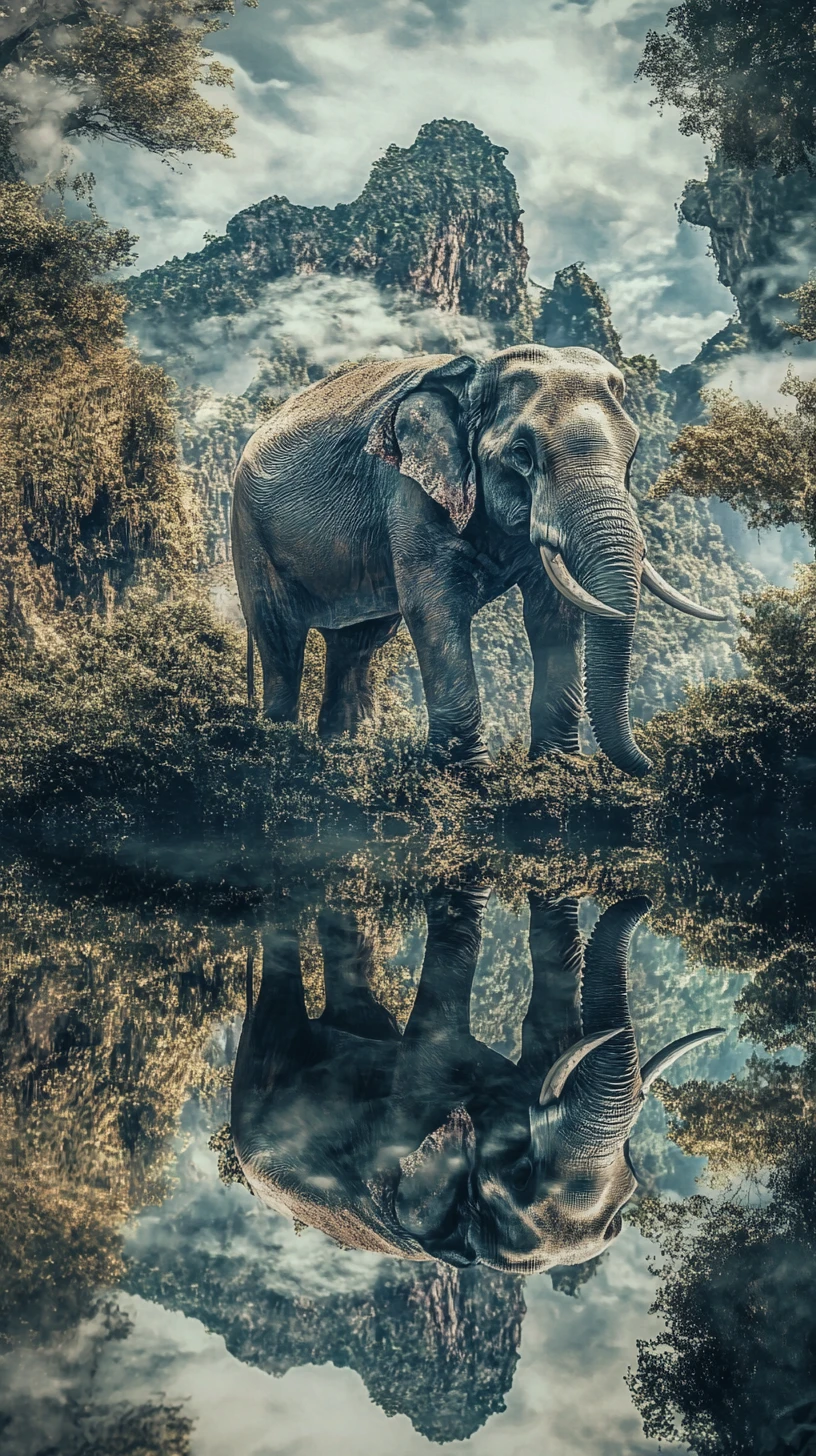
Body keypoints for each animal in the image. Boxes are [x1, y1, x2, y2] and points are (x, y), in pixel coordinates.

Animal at [231, 344, 725, 776]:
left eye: (633, 454)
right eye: (522, 455)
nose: (653, 765)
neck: (475, 379)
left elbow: (554, 612)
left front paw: (559, 768)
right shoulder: (411, 490)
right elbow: (434, 609)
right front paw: (470, 775)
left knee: (358, 641)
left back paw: (348, 752)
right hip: (249, 534)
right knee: (281, 638)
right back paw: (281, 749)